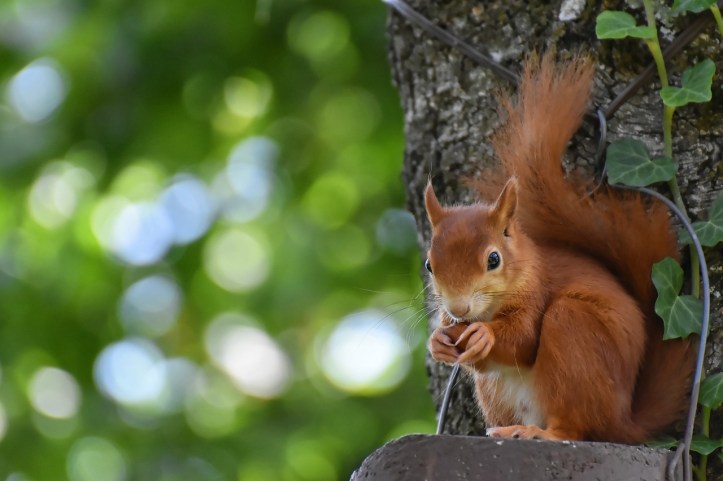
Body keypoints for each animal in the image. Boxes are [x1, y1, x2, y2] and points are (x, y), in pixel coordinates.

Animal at [425, 53, 694, 443]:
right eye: (429, 266)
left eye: (494, 259)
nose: (459, 308)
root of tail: (623, 421)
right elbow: (472, 353)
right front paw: (437, 342)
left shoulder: (538, 291)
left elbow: (523, 339)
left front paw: (485, 334)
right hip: (496, 393)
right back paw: (509, 429)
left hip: (573, 332)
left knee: (573, 427)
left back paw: (539, 433)